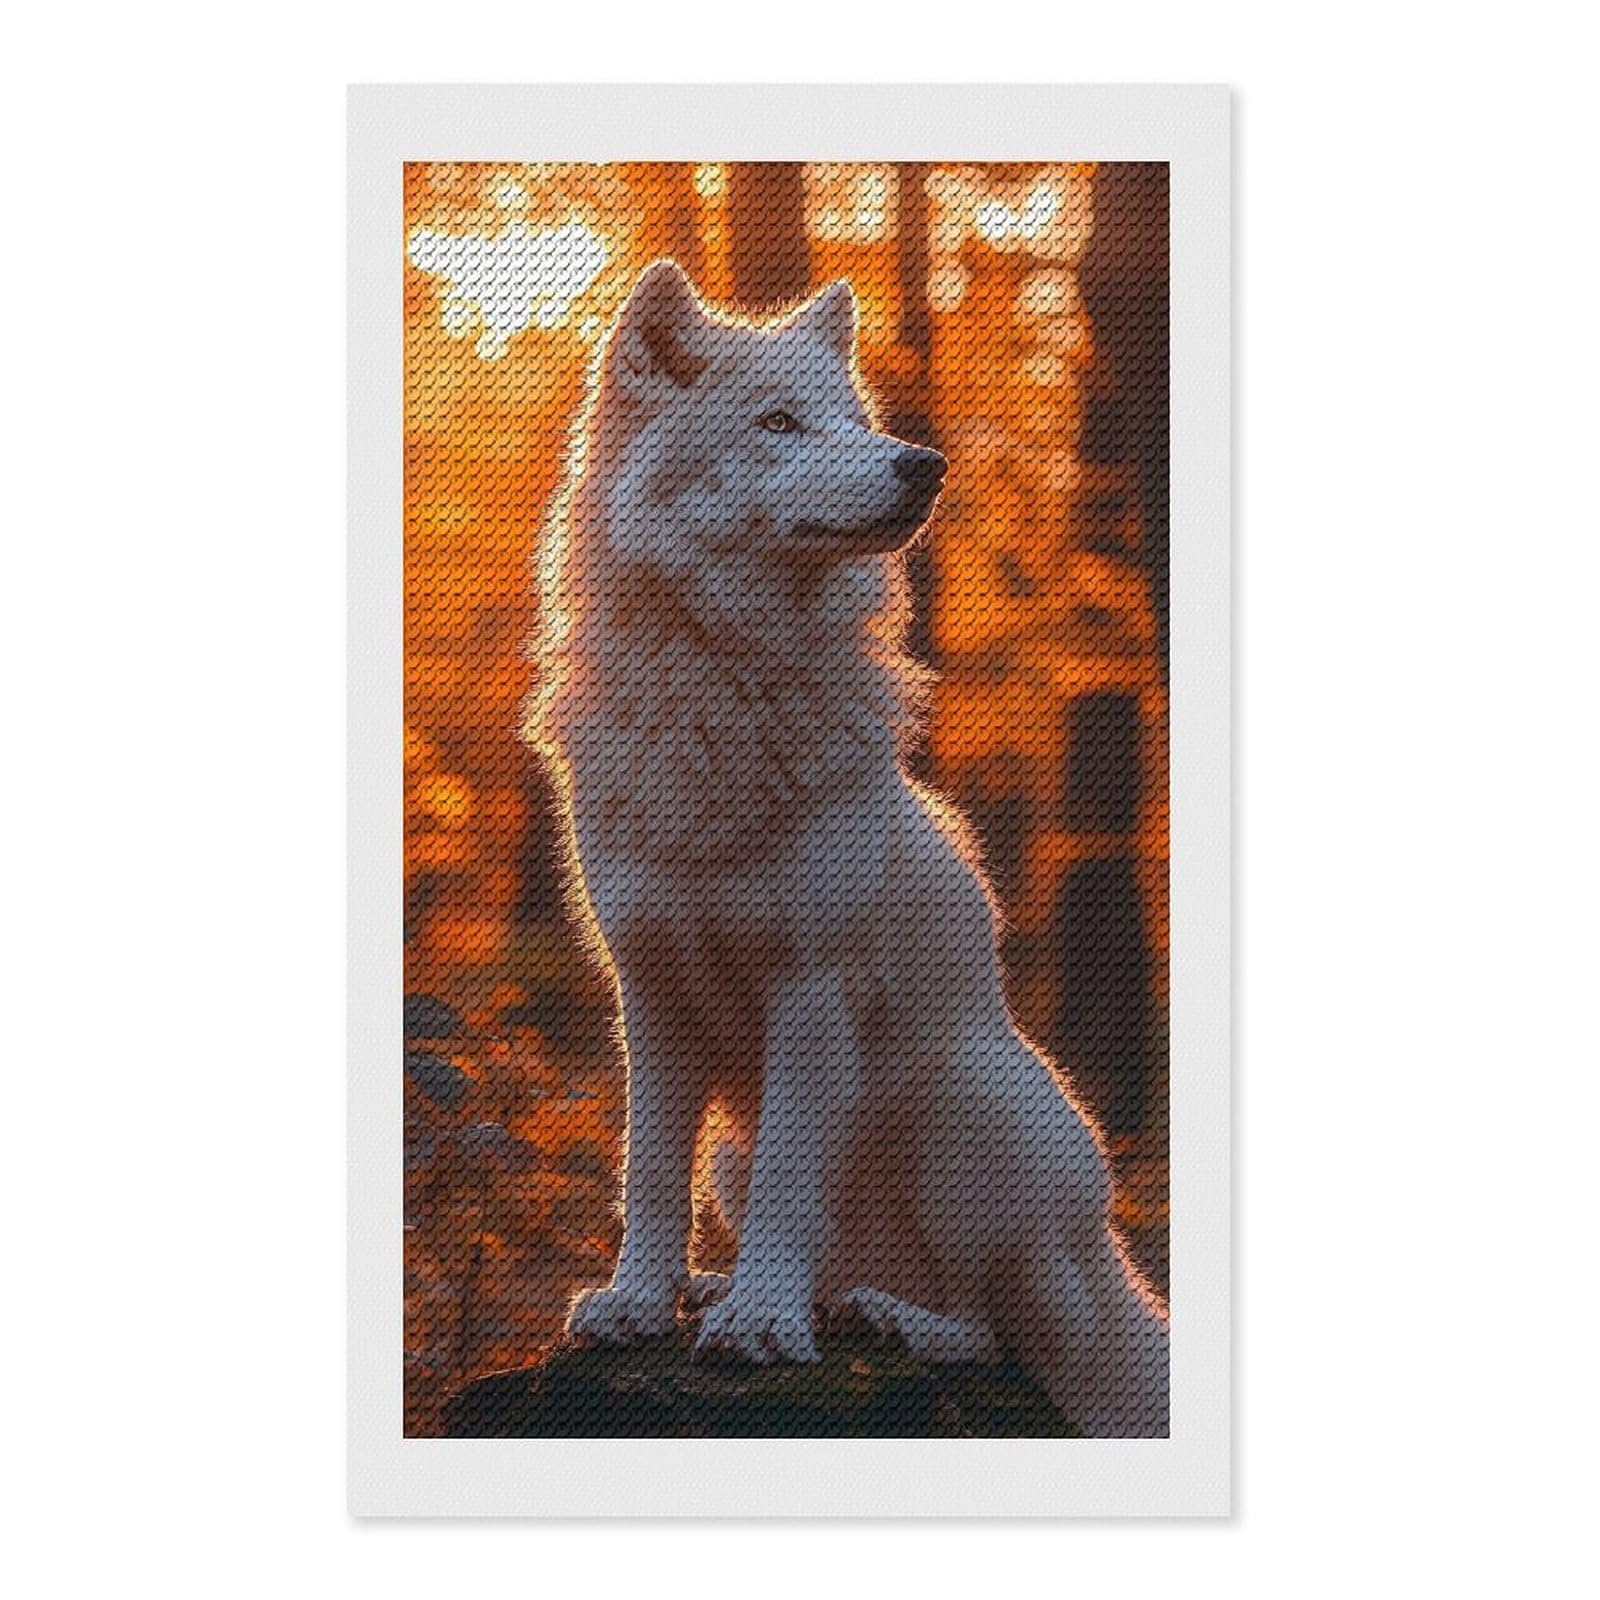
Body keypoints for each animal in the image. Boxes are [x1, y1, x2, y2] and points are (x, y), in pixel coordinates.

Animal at [525, 260, 1169, 1436]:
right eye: (779, 421)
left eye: (858, 422)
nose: (925, 463)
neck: (722, 688)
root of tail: (1099, 1251)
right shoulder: (650, 993)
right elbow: (647, 1174)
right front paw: (640, 1301)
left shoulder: (813, 986)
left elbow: (792, 1180)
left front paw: (762, 1327)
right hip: (737, 1154)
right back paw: (739, 1290)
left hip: (971, 1116)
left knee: (995, 1330)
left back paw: (884, 1319)